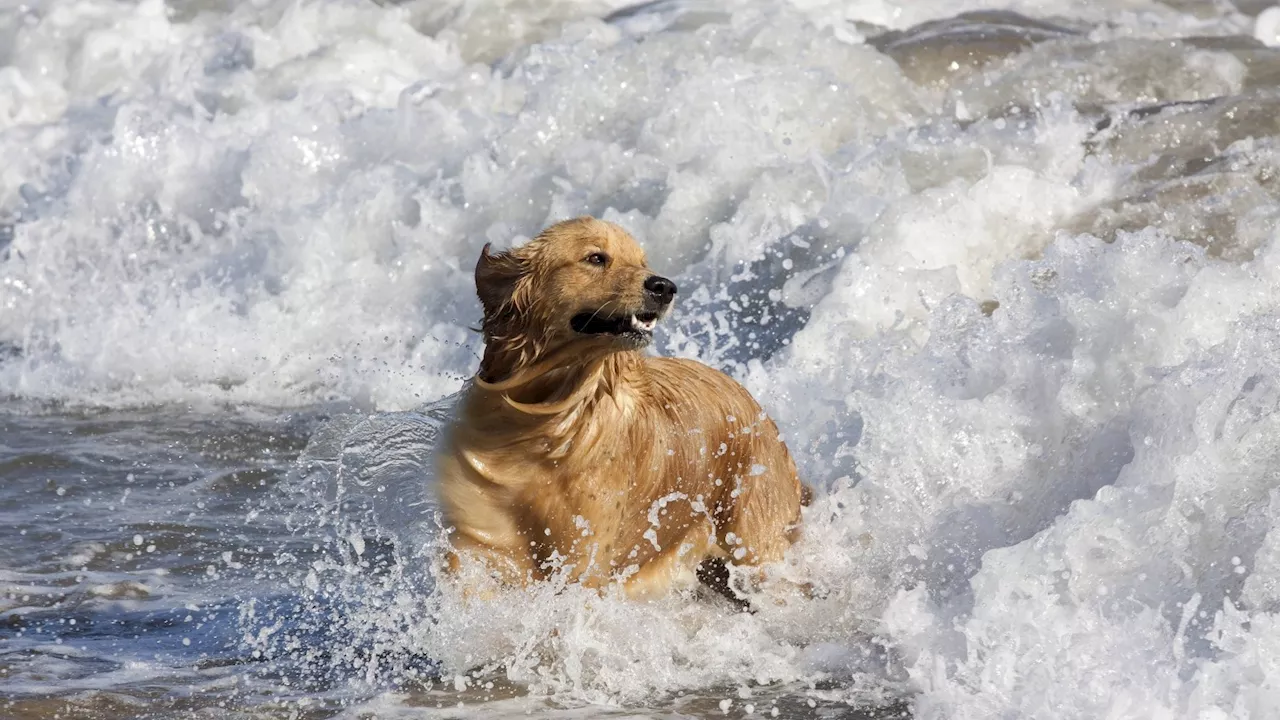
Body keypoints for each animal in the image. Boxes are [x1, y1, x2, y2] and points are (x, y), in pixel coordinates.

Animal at [435, 215, 803, 602]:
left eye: (642, 262)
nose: (664, 286)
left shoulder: (583, 560)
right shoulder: (480, 528)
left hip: (756, 547)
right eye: (596, 258)